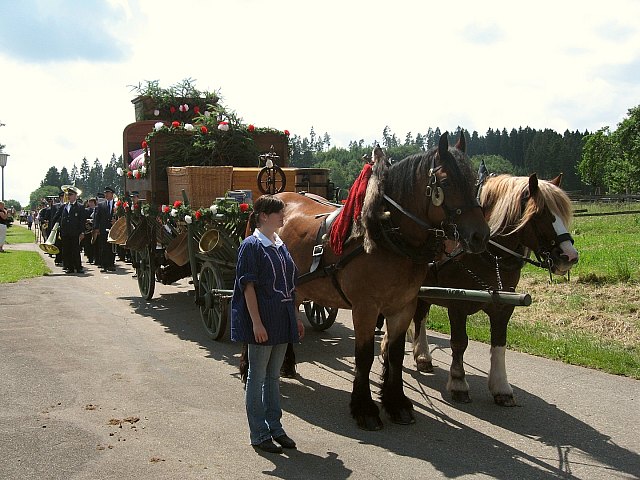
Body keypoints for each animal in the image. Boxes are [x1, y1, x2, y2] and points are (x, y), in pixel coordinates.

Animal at [276, 132, 490, 432]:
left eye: (473, 182)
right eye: (446, 182)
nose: (480, 236)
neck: (388, 237)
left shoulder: (403, 306)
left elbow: (395, 354)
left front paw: (396, 403)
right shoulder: (365, 308)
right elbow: (365, 356)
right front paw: (364, 408)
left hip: (297, 289)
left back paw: (287, 364)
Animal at [396, 172, 580, 404]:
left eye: (563, 213)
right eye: (539, 215)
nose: (570, 256)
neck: (487, 253)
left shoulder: (504, 305)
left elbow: (499, 343)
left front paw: (501, 387)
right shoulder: (458, 303)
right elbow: (459, 342)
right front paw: (458, 383)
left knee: (420, 317)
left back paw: (422, 356)